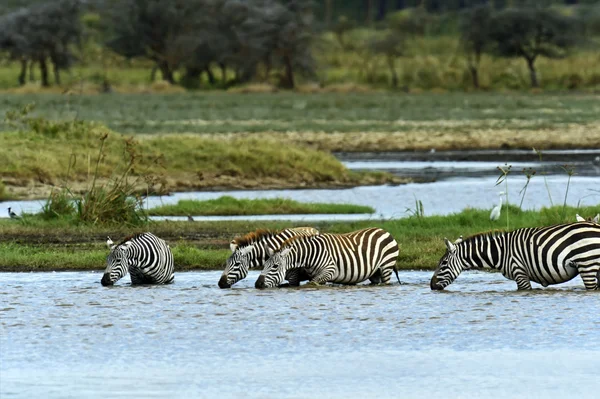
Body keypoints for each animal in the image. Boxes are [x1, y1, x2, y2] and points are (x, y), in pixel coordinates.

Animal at [253, 230, 398, 290]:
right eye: (264, 265)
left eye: (275, 266)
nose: (257, 284)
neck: (310, 255)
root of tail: (383, 230)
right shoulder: (317, 275)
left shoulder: (329, 270)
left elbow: (311, 283)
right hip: (375, 273)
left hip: (386, 267)